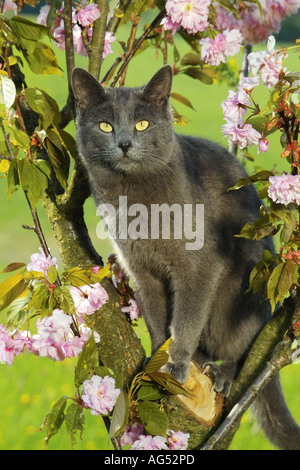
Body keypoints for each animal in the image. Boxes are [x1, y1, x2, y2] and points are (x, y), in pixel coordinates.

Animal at [72, 65, 300, 448]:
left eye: (142, 124)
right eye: (105, 125)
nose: (124, 143)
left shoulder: (199, 266)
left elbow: (186, 318)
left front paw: (176, 364)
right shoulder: (140, 269)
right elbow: (156, 318)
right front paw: (155, 359)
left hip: (250, 286)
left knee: (242, 345)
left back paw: (221, 372)